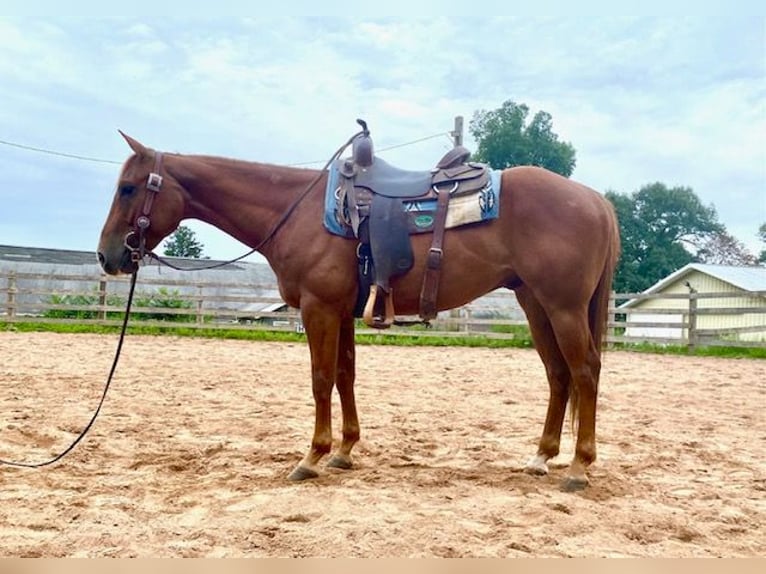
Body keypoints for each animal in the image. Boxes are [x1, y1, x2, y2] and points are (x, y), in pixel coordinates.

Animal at [97, 131, 620, 491]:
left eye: (128, 188)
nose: (108, 256)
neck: (297, 211)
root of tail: (594, 199)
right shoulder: (342, 311)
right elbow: (345, 375)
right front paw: (345, 451)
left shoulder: (319, 308)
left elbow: (321, 378)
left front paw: (312, 456)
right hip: (535, 302)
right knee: (558, 373)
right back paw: (541, 457)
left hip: (563, 306)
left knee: (585, 371)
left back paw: (578, 467)